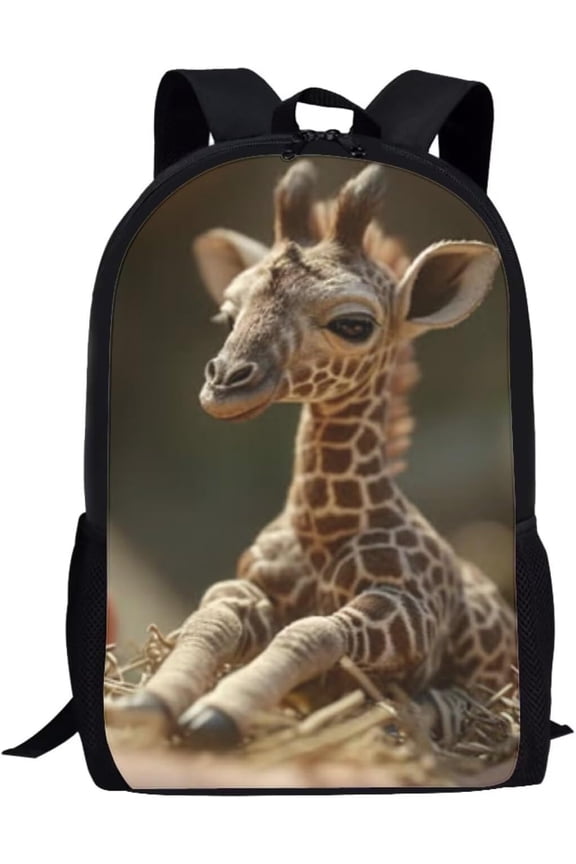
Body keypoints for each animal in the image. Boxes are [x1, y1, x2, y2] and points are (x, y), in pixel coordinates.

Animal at [106, 160, 516, 751]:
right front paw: (150, 702)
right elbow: (212, 622)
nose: (225, 385)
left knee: (444, 706)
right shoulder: (250, 589)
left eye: (354, 324)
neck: (321, 528)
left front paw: (218, 713)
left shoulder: (407, 612)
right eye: (226, 316)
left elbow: (311, 630)